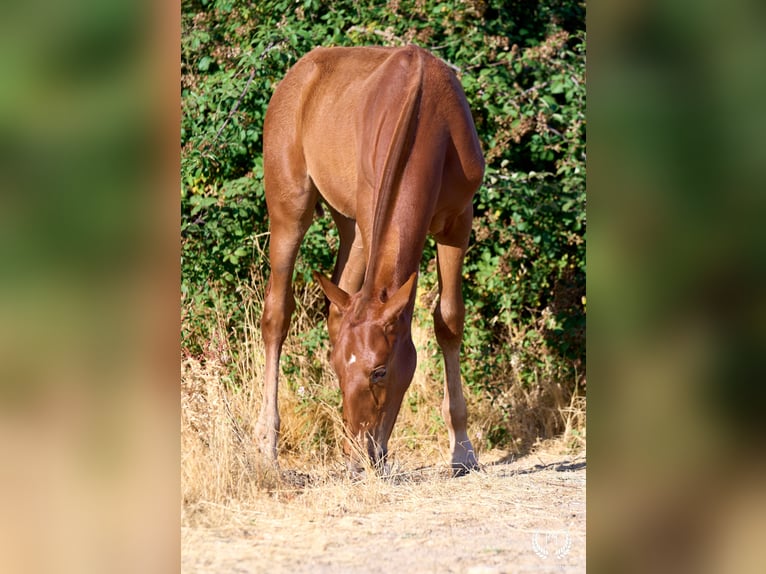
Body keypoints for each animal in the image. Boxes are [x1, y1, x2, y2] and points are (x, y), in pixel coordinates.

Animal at [254, 45, 484, 474]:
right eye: (337, 367)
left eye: (379, 370)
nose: (362, 454)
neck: (426, 114)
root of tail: (297, 75)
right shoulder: (370, 215)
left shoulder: (457, 223)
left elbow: (448, 320)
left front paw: (463, 449)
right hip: (291, 210)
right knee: (276, 314)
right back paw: (268, 443)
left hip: (347, 225)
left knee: (336, 305)